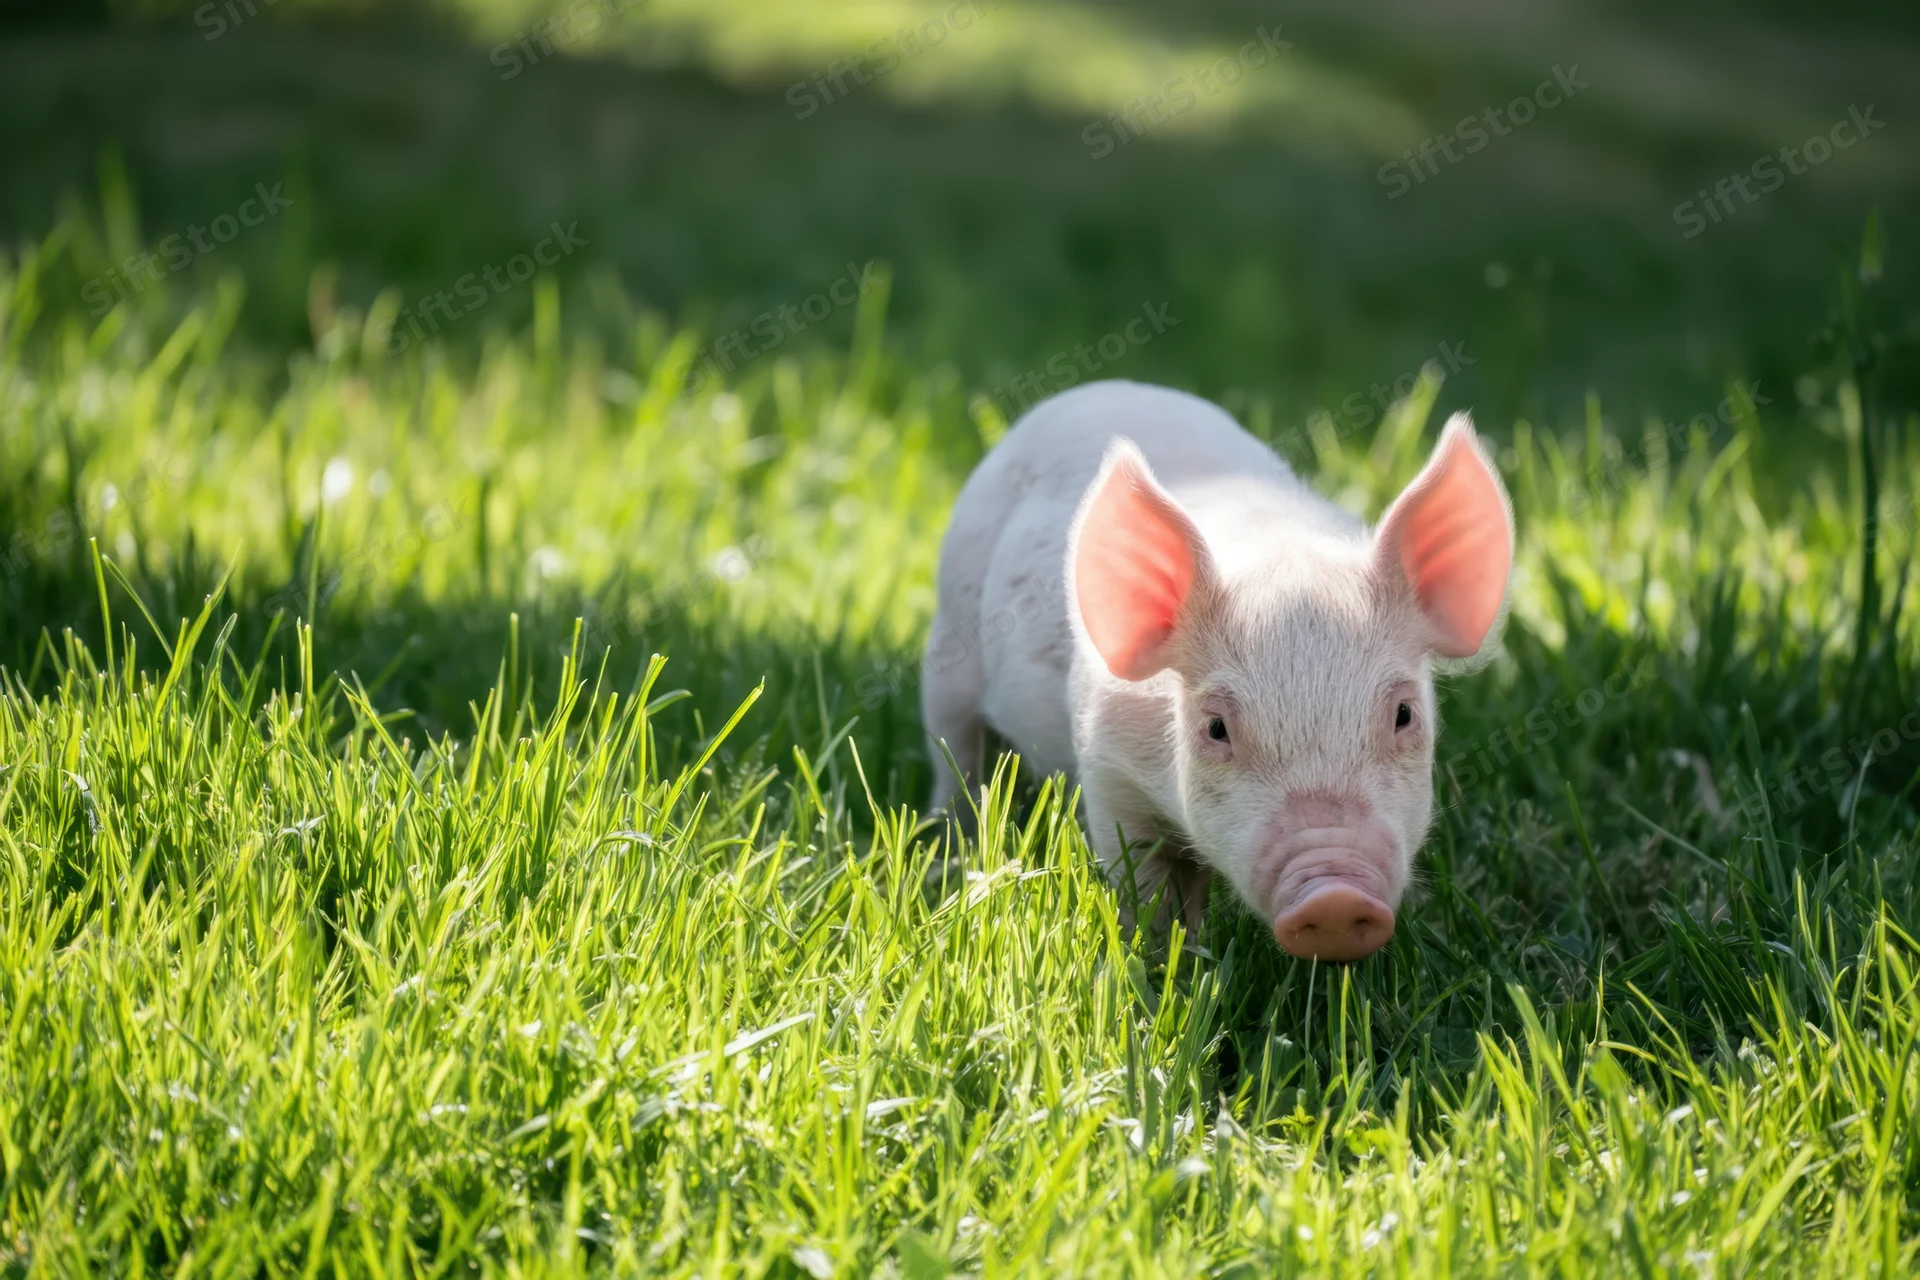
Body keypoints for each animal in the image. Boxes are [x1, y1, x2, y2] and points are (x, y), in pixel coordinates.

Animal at [921, 380, 1512, 961]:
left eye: (1404, 714)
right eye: (1216, 728)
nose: (1335, 900)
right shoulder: (1107, 763)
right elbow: (1142, 880)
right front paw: (1164, 956)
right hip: (948, 642)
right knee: (955, 752)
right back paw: (948, 850)